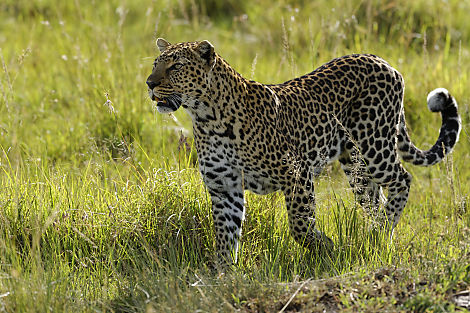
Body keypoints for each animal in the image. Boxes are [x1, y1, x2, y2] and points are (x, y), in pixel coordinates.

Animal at [145, 37, 460, 264]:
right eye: (155, 65)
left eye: (175, 67)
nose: (149, 83)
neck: (206, 116)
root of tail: (382, 60)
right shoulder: (223, 186)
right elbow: (225, 235)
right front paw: (223, 276)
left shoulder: (296, 173)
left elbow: (299, 225)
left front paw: (325, 248)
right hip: (355, 164)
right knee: (373, 198)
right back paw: (373, 238)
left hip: (374, 143)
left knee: (402, 179)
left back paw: (383, 230)